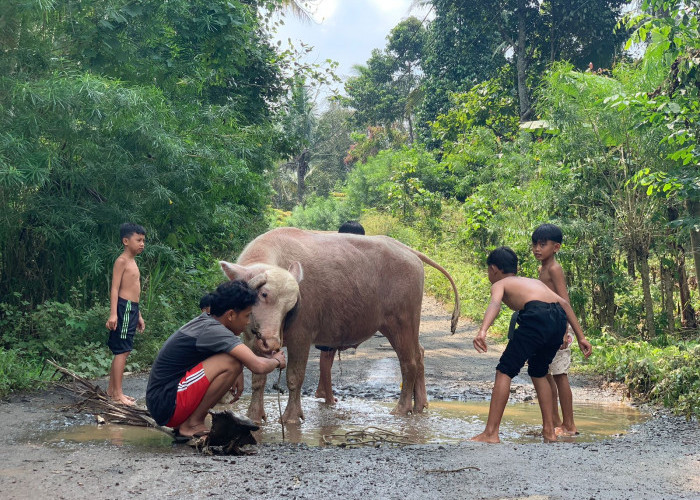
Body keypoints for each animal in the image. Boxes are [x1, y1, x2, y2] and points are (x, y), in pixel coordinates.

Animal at [219, 229, 460, 424]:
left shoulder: (301, 337)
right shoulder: (250, 339)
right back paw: (420, 405)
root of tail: (407, 251)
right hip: (404, 326)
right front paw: (254, 415)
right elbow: (258, 377)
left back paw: (402, 409)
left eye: (291, 305)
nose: (272, 341)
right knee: (419, 354)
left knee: (409, 362)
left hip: (401, 322)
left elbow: (295, 377)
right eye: (263, 294)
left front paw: (291, 417)